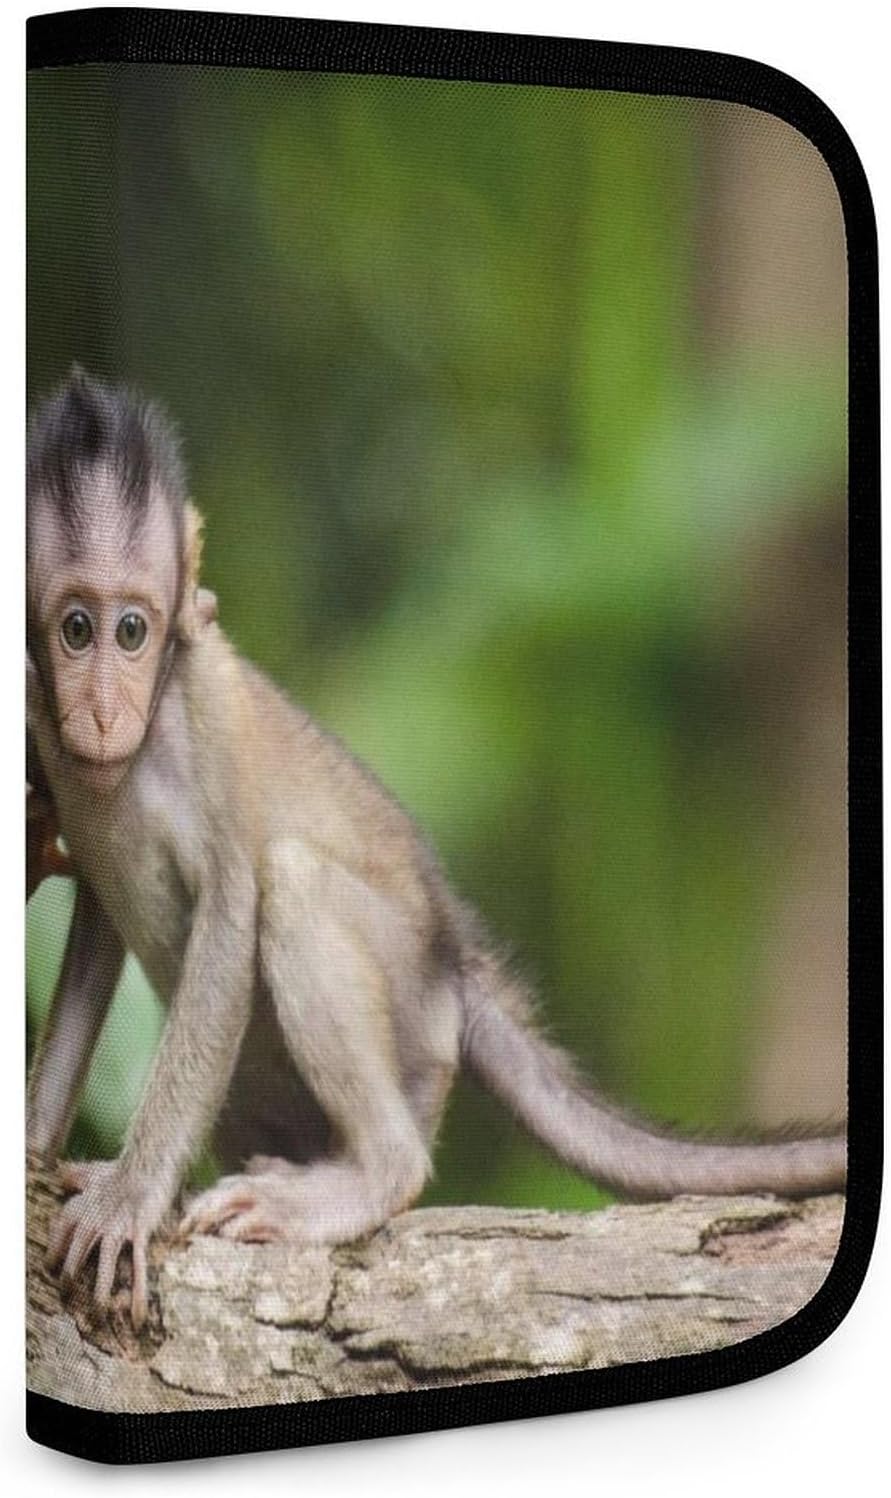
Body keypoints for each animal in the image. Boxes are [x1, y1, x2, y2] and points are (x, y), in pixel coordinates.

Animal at [26, 369, 846, 1330]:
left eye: (132, 631)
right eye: (75, 630)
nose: (103, 711)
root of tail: (453, 966)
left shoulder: (206, 716)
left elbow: (230, 913)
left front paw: (129, 1197)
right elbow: (94, 924)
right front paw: (35, 1147)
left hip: (411, 1024)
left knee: (293, 886)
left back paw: (368, 1174)